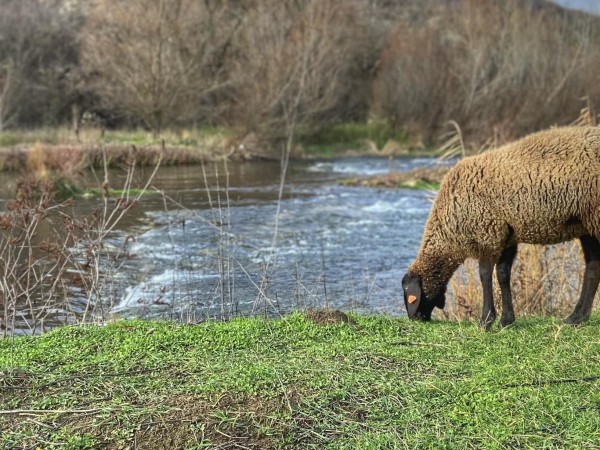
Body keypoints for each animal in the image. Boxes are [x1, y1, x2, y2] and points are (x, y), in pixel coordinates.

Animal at [400, 125, 600, 328]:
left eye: (410, 296)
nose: (416, 319)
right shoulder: (506, 235)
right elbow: (503, 274)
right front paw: (506, 320)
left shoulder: (487, 233)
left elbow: (485, 275)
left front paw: (486, 320)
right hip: (587, 227)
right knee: (593, 268)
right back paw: (576, 317)